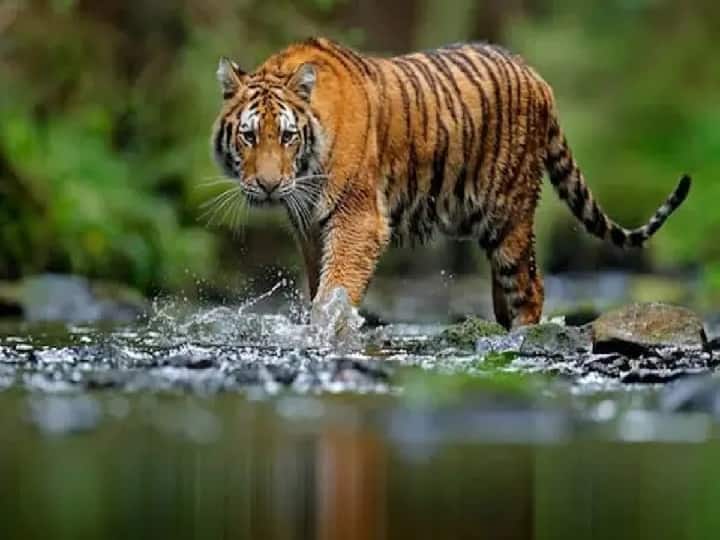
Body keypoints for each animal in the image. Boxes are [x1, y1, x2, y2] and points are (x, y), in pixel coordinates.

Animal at [211, 37, 691, 329]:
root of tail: (537, 77)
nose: (268, 185)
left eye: (287, 136)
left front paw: (327, 332)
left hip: (509, 214)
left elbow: (336, 289)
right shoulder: (310, 227)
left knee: (530, 287)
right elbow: (319, 286)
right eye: (249, 135)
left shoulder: (358, 219)